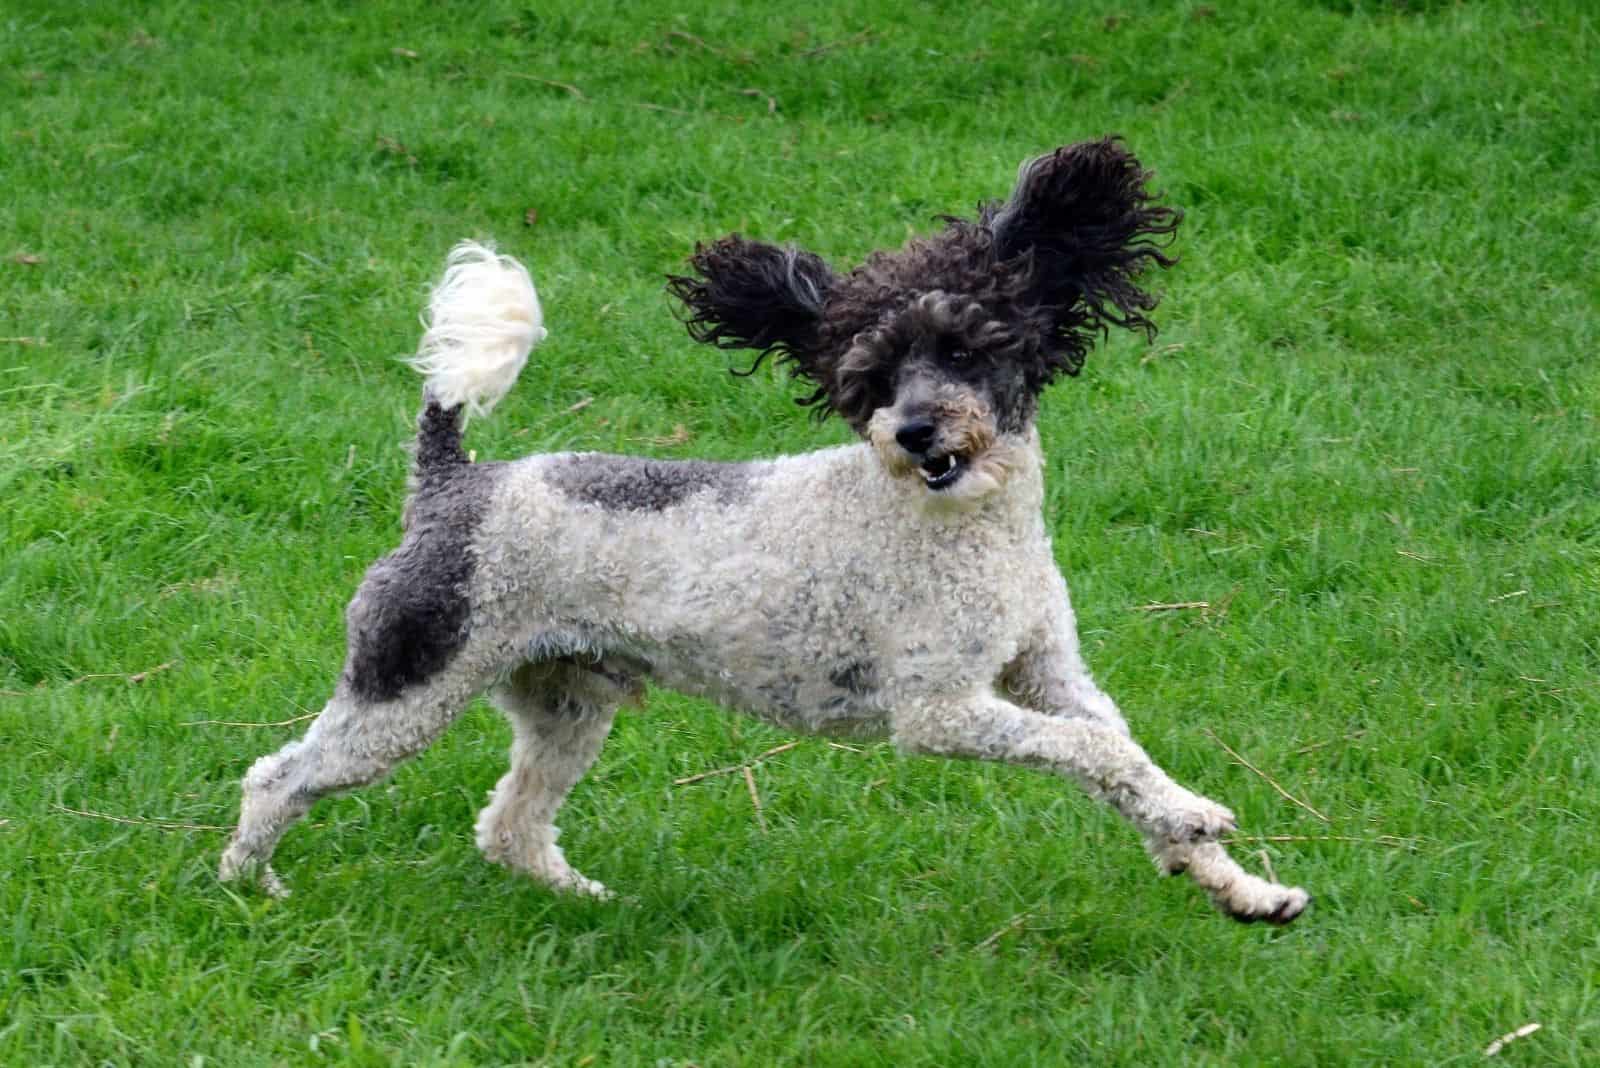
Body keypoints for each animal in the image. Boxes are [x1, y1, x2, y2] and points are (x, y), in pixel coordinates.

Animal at [222, 137, 1312, 920]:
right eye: (868, 376)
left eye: (967, 346)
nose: (914, 433)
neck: (959, 524)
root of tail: (457, 479)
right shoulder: (940, 710)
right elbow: (1097, 755)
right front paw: (1199, 822)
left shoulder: (1048, 675)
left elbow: (1119, 754)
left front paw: (1233, 879)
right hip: (410, 677)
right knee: (280, 775)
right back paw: (250, 887)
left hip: (568, 697)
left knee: (510, 824)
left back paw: (583, 898)